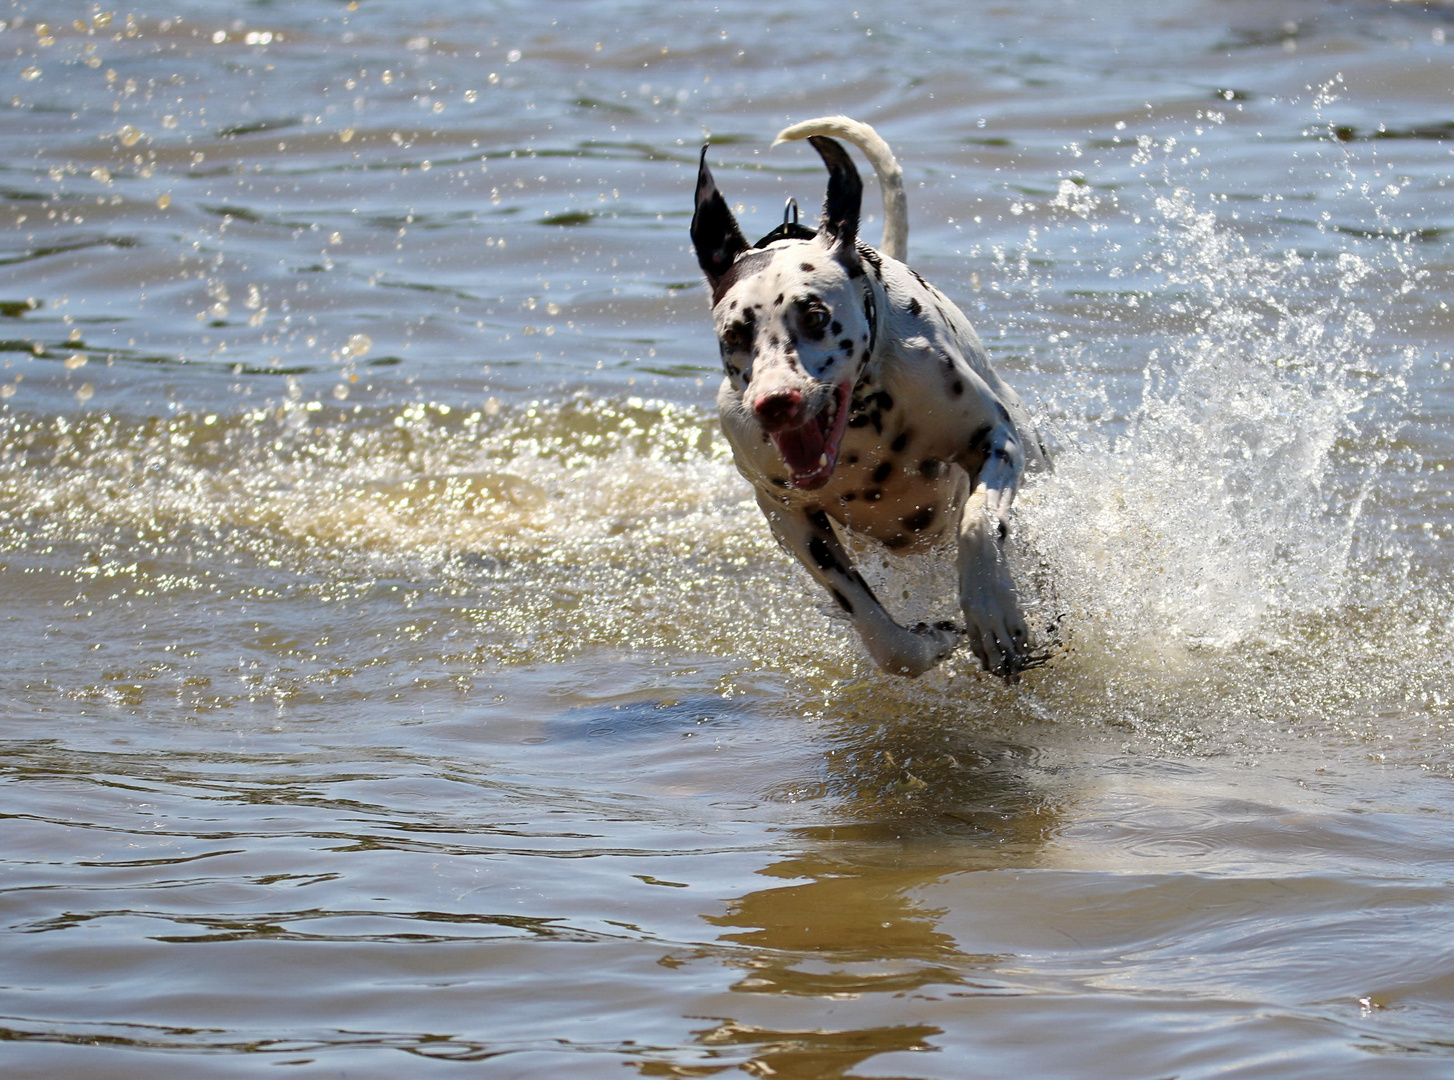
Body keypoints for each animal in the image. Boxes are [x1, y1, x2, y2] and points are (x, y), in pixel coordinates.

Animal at [692, 116, 1046, 674]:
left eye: (815, 316)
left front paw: (992, 613)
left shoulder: (996, 441)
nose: (775, 402)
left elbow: (979, 527)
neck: (865, 423)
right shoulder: (788, 514)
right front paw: (930, 640)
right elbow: (884, 637)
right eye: (735, 334)